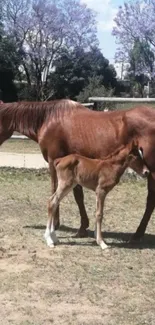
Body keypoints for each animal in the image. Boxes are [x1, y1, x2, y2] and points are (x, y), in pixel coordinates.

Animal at [0, 99, 154, 240]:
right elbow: (78, 195)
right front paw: (82, 227)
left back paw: (138, 233)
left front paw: (55, 224)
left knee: (150, 200)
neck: (49, 118)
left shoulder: (53, 162)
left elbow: (55, 190)